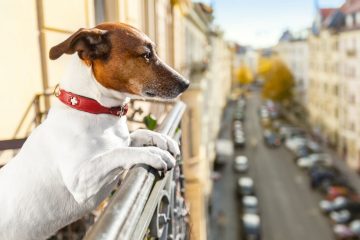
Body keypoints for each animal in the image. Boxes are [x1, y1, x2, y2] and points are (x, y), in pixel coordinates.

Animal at [0, 21, 190, 239]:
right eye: (146, 54)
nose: (186, 83)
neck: (94, 108)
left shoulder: (122, 139)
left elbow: (133, 136)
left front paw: (160, 139)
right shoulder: (79, 180)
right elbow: (116, 153)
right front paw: (151, 152)